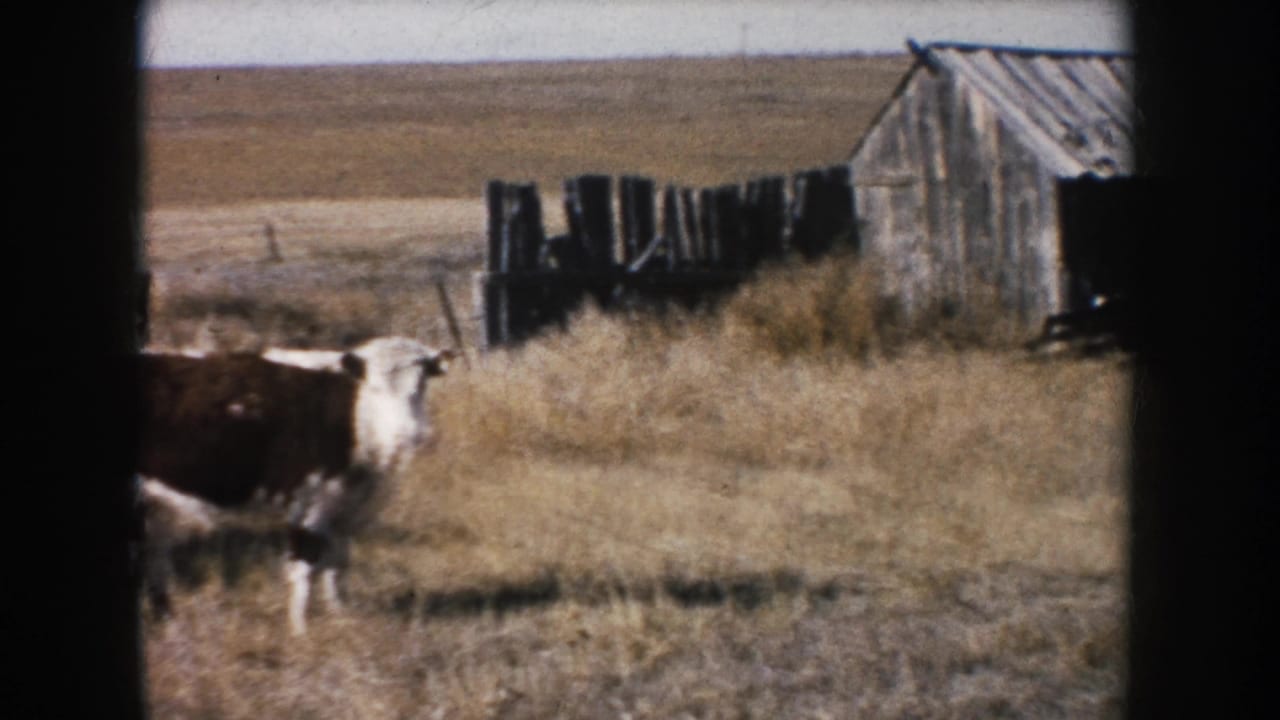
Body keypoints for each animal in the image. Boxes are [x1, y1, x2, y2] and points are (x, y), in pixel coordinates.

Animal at [137, 336, 455, 635]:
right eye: (374, 387)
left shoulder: (344, 509)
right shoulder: (309, 503)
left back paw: (168, 620)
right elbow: (305, 565)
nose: (407, 433)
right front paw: (300, 630)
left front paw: (340, 615)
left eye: (421, 382)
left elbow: (338, 563)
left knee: (155, 559)